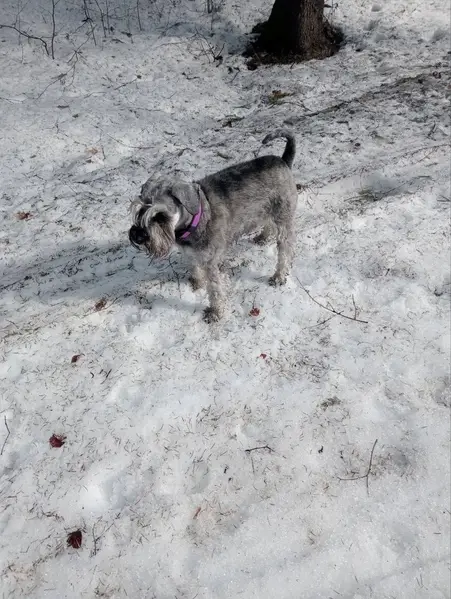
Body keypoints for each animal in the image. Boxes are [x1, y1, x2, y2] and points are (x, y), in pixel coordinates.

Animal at [129, 129, 297, 323]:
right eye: (139, 209)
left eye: (160, 215)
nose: (137, 236)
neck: (196, 219)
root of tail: (283, 161)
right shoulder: (190, 253)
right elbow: (194, 267)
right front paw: (196, 283)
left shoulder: (211, 263)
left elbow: (215, 289)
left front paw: (215, 312)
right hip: (264, 209)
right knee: (268, 222)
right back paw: (263, 237)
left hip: (284, 219)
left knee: (285, 250)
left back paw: (278, 276)